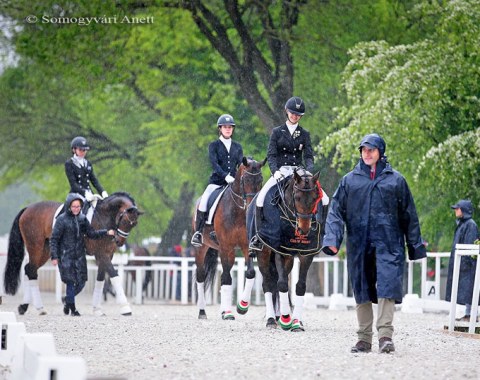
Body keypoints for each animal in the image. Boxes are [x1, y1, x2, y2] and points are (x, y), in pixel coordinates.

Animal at [3, 191, 142, 316]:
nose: (119, 241)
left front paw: (96, 309)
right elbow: (114, 275)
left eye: (134, 224)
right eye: (125, 220)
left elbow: (100, 279)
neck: (103, 217)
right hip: (35, 247)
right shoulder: (101, 254)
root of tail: (27, 208)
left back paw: (25, 306)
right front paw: (125, 308)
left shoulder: (107, 255)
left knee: (29, 269)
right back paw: (39, 308)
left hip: (46, 251)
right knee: (31, 270)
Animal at [192, 156, 266, 320]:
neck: (238, 210)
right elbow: (226, 278)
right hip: (202, 248)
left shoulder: (245, 246)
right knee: (200, 276)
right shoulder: (226, 247)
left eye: (261, 180)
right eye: (245, 180)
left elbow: (250, 273)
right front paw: (227, 313)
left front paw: (242, 307)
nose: (251, 206)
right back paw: (202, 312)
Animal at [251, 169, 326, 330]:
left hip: (289, 258)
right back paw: (272, 319)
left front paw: (296, 322)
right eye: (297, 197)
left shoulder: (306, 255)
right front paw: (286, 319)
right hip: (263, 253)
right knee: (268, 283)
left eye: (315, 198)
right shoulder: (280, 251)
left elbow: (300, 286)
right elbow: (282, 284)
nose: (303, 229)